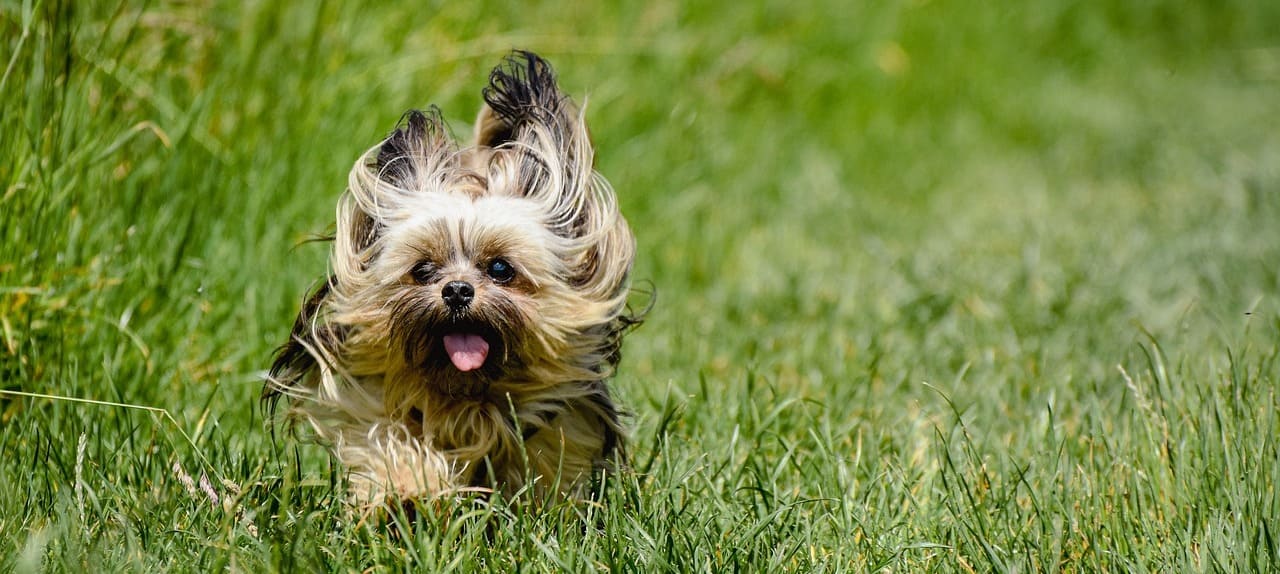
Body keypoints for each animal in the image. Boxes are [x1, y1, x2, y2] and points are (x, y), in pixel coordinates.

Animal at [262, 51, 640, 512]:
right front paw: (409, 489)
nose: (457, 290)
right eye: (423, 269)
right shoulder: (372, 396)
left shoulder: (560, 418)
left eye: (501, 269)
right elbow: (389, 441)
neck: (466, 394)